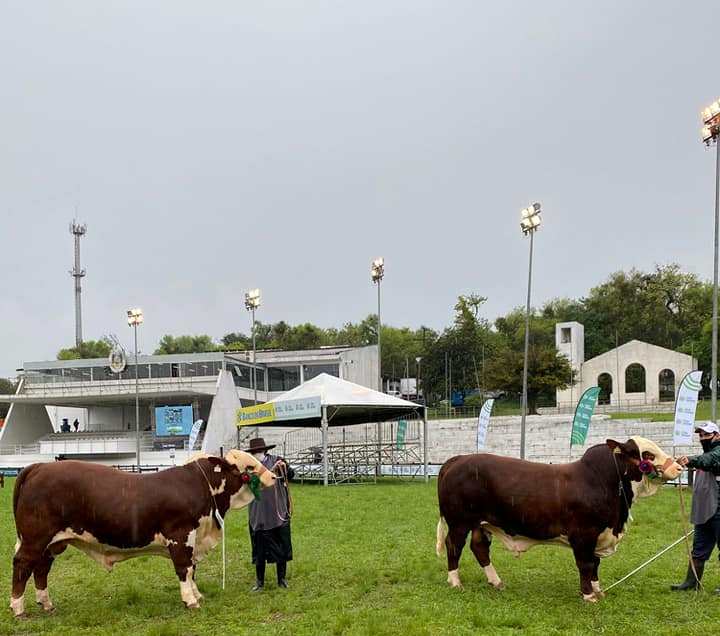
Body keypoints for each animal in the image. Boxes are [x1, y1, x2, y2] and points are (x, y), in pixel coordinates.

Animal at [11, 448, 276, 616]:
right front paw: (190, 600)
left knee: (41, 569)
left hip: (52, 543)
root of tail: (39, 466)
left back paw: (46, 604)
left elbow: (192, 570)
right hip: (35, 539)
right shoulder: (180, 537)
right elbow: (184, 569)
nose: (275, 476)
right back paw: (18, 608)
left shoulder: (192, 540)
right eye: (249, 466)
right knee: (22, 564)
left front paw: (197, 595)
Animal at [436, 434, 684, 604]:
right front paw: (588, 596)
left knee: (479, 548)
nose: (680, 466)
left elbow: (595, 564)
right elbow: (585, 564)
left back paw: (496, 582)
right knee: (454, 546)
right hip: (459, 522)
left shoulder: (599, 535)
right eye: (648, 454)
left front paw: (598, 591)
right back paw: (455, 582)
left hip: (482, 523)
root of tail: (458, 459)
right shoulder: (583, 534)